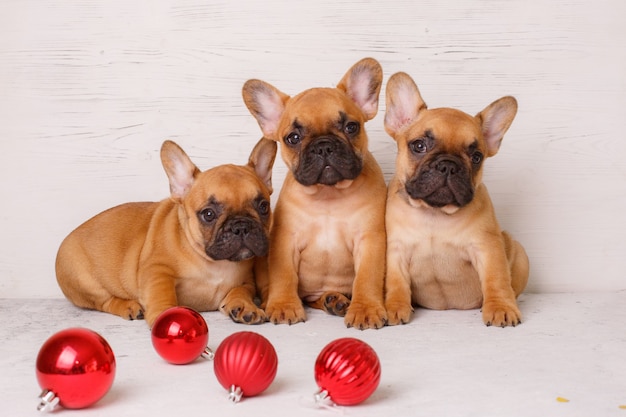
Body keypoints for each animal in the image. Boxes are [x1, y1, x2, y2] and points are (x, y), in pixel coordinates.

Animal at [55, 136, 276, 324]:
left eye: (263, 207)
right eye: (208, 214)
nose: (241, 226)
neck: (214, 264)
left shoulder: (245, 281)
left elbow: (240, 291)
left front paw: (245, 306)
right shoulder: (156, 269)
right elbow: (161, 291)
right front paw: (165, 314)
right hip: (84, 282)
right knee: (105, 301)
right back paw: (129, 306)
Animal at [241, 57, 388, 328]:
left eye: (351, 127)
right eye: (293, 137)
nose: (323, 146)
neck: (328, 195)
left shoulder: (370, 239)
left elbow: (367, 277)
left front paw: (365, 309)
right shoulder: (285, 241)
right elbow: (284, 276)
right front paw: (284, 306)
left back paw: (336, 300)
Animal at [382, 71, 524, 326]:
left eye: (476, 157)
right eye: (419, 145)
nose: (448, 165)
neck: (434, 213)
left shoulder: (488, 248)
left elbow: (496, 279)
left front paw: (500, 307)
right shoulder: (396, 251)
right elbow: (396, 282)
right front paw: (395, 307)